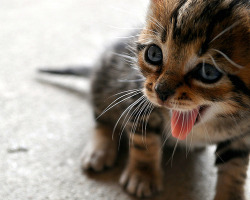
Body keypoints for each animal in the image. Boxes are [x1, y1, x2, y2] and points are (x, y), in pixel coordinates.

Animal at [40, 0, 249, 200]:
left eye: (208, 72)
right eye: (154, 54)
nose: (160, 92)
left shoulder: (242, 136)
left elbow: (235, 167)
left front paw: (231, 194)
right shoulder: (138, 97)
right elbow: (144, 140)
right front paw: (143, 175)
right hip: (105, 78)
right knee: (103, 118)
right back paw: (100, 149)